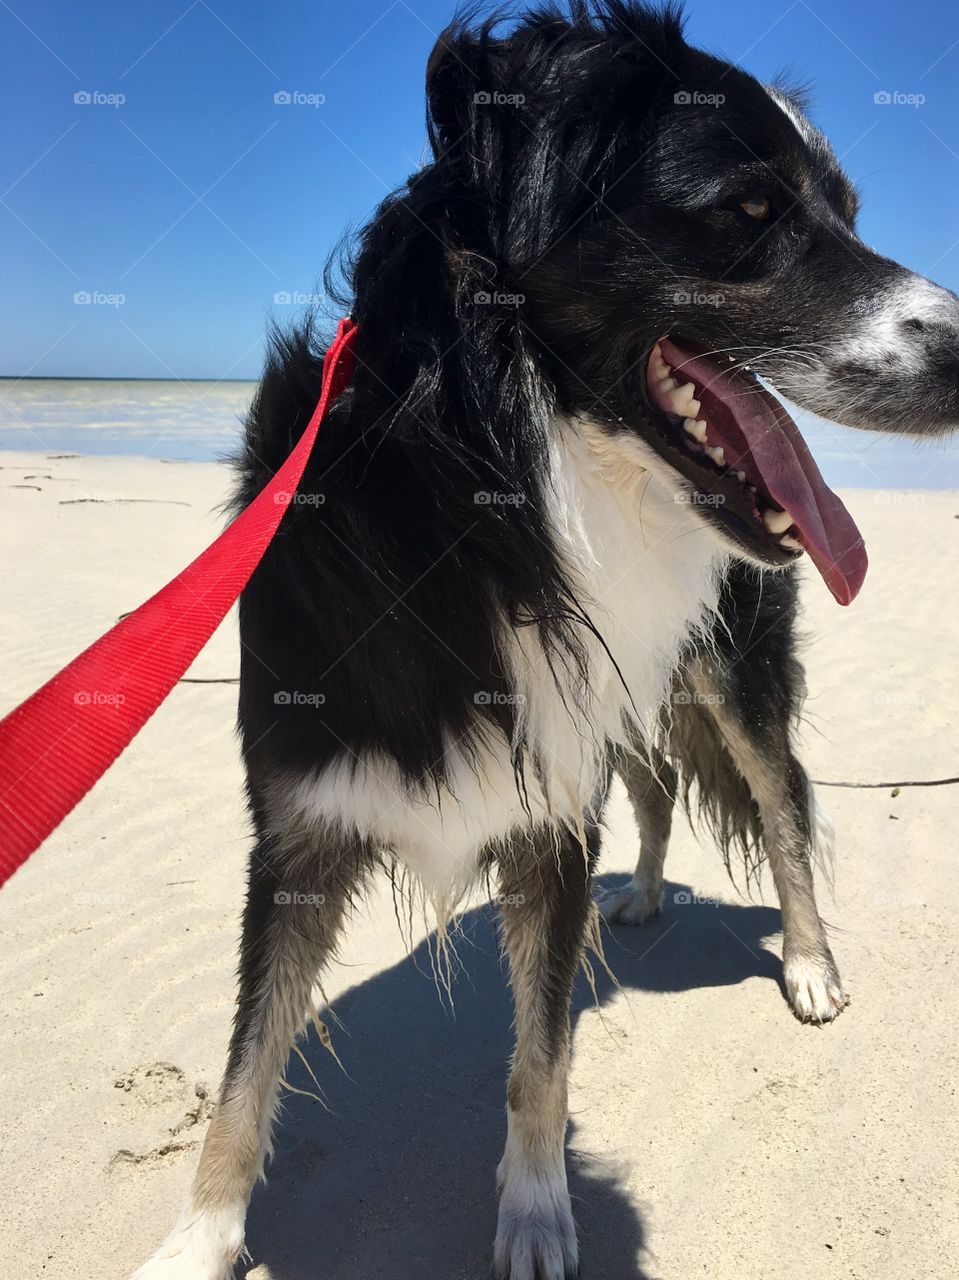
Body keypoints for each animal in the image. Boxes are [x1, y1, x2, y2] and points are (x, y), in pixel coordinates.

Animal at [132, 5, 957, 1274]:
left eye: (844, 212)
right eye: (746, 210)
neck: (495, 504)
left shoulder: (552, 809)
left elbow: (540, 1053)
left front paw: (532, 1212)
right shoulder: (301, 818)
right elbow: (243, 1063)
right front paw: (200, 1235)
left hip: (729, 674)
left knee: (779, 801)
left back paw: (810, 962)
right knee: (661, 785)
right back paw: (650, 895)